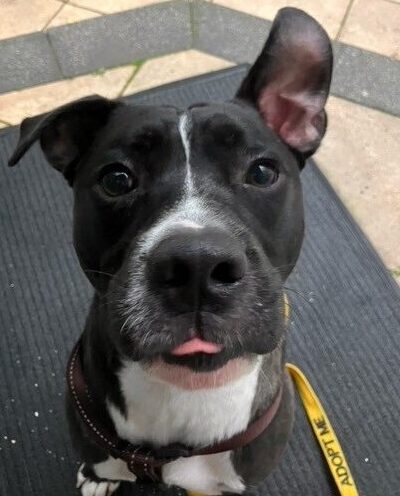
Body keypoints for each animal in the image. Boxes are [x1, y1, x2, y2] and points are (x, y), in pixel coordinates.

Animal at [9, 7, 332, 496]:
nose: (197, 264)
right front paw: (96, 478)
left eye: (262, 172)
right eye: (116, 179)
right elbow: (98, 463)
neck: (186, 387)